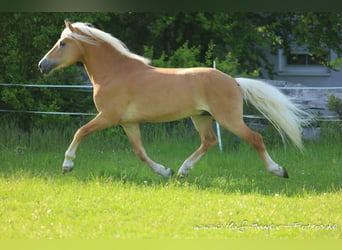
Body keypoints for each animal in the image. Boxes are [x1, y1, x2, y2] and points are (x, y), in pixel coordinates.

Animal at [38, 20, 310, 179]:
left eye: (62, 43)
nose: (42, 65)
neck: (115, 73)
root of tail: (233, 80)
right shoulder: (128, 122)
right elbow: (140, 152)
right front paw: (164, 171)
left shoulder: (108, 117)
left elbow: (80, 132)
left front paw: (67, 165)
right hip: (201, 118)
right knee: (209, 141)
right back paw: (181, 171)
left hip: (228, 119)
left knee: (255, 138)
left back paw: (279, 170)